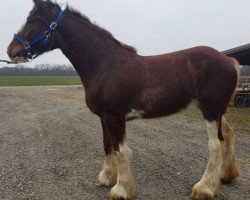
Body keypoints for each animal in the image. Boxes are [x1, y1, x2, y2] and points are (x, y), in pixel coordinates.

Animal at [6, 0, 239, 199]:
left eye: (32, 19)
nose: (10, 50)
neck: (104, 64)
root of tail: (229, 60)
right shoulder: (104, 117)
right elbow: (107, 145)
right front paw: (106, 178)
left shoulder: (114, 116)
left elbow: (120, 149)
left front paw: (121, 189)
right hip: (216, 110)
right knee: (227, 135)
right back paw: (226, 176)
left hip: (210, 110)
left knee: (215, 144)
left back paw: (205, 188)